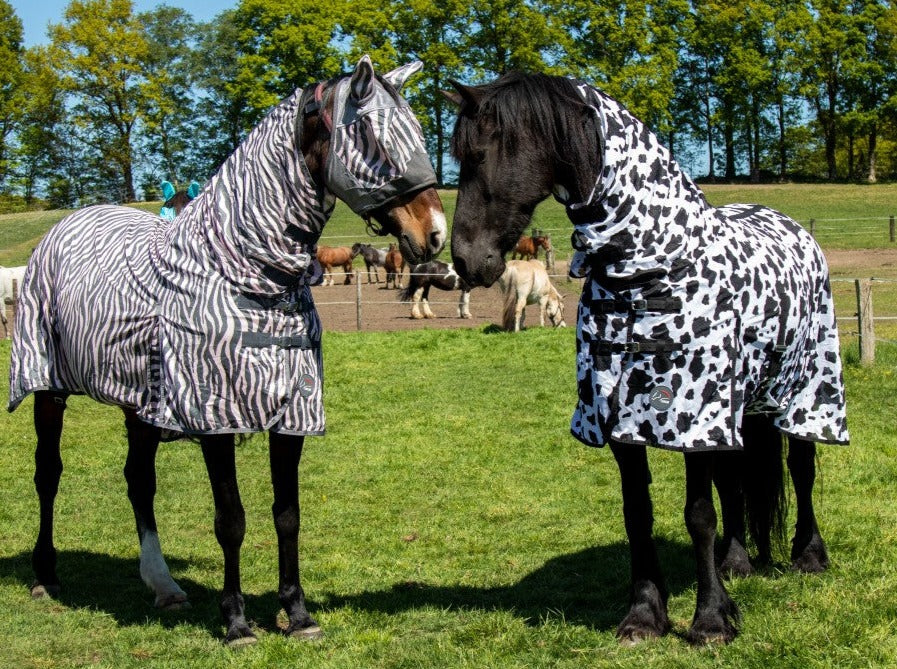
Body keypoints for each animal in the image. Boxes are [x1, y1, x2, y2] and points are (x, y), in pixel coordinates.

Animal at [11, 56, 446, 647]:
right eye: (371, 133)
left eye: (420, 131)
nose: (436, 234)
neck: (242, 271)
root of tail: (70, 224)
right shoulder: (214, 414)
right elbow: (231, 520)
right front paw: (237, 621)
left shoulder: (293, 413)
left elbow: (287, 514)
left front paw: (297, 613)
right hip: (46, 387)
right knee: (47, 473)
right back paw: (45, 575)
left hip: (139, 405)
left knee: (138, 482)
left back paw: (163, 585)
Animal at [446, 72, 847, 645]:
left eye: (479, 155)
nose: (464, 260)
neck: (649, 271)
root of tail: (791, 225)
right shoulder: (616, 417)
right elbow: (638, 511)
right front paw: (643, 615)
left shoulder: (693, 418)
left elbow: (698, 513)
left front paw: (710, 620)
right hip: (740, 406)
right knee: (735, 479)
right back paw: (737, 562)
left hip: (805, 390)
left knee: (802, 466)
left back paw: (809, 556)